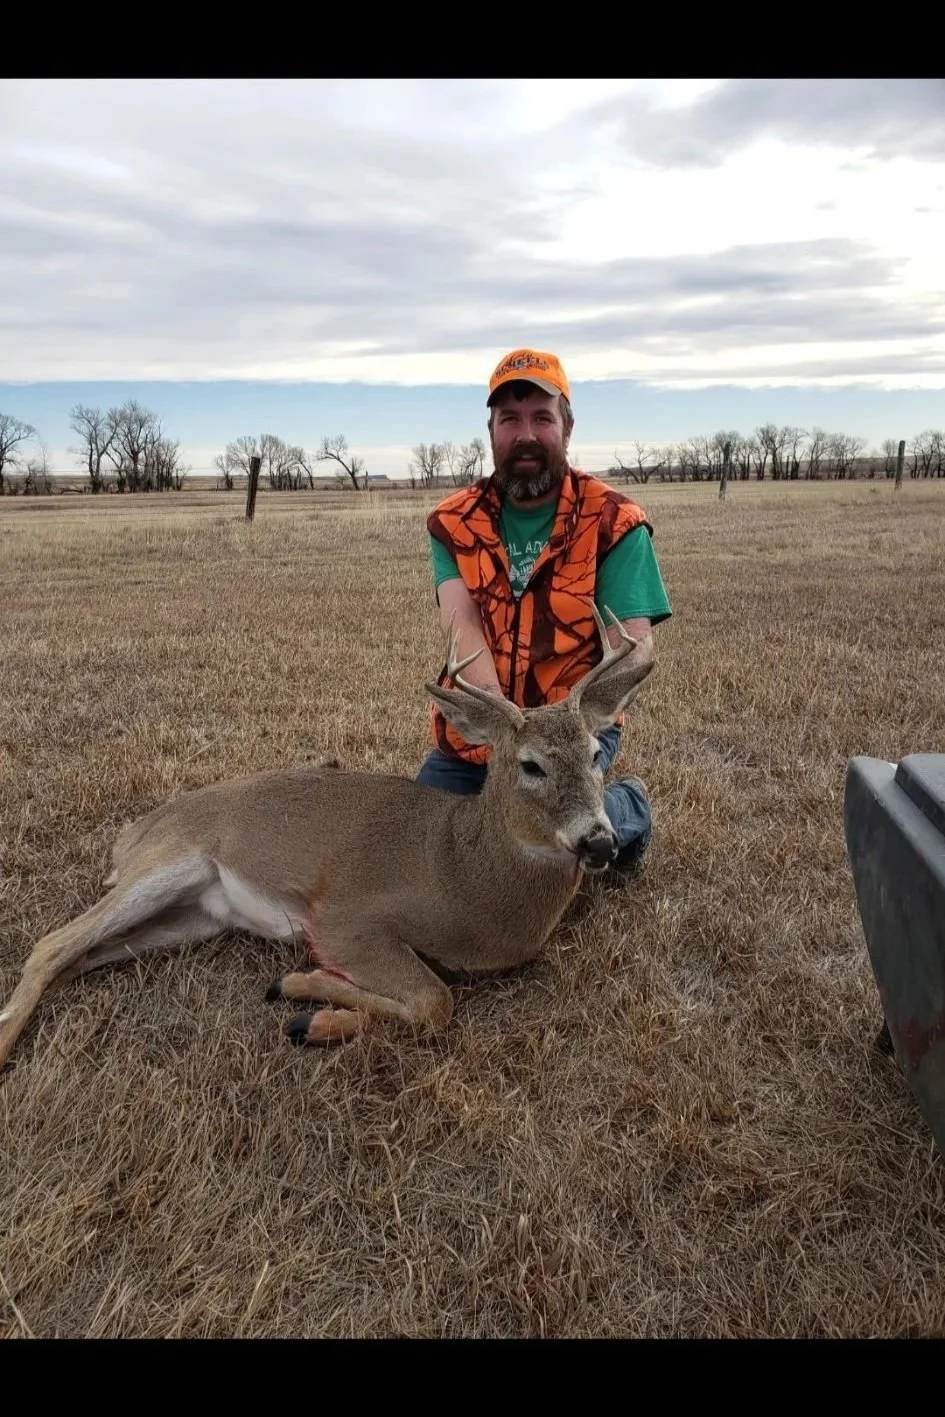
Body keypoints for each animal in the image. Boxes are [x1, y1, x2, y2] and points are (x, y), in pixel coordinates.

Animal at [0, 606, 654, 1072]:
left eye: (596, 753)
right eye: (530, 765)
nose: (599, 842)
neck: (460, 869)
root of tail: (132, 833)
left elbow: (429, 1001)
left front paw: (308, 1008)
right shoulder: (346, 917)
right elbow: (435, 1001)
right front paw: (305, 998)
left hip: (193, 917)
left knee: (82, 954)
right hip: (168, 861)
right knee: (51, 944)